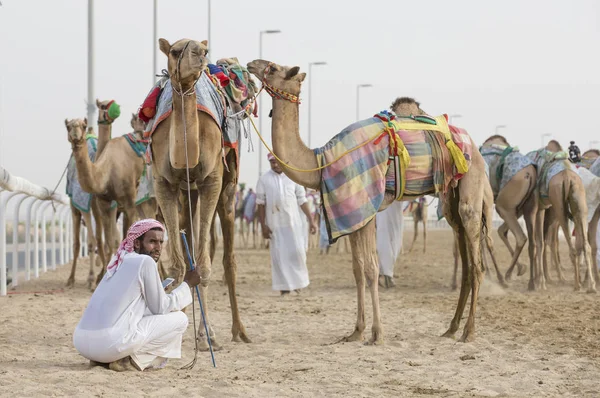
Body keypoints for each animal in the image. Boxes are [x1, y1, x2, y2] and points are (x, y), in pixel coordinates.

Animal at [151, 38, 252, 348]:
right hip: (187, 195)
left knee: (228, 260)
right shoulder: (164, 183)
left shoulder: (212, 181)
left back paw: (238, 330)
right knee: (188, 251)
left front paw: (208, 336)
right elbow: (178, 266)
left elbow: (205, 266)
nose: (200, 53)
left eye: (203, 49)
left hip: (227, 190)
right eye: (174, 51)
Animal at [246, 59, 490, 342]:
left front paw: (377, 333)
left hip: (471, 186)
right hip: (451, 198)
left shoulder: (365, 206)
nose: (252, 63)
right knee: (465, 259)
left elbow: (372, 268)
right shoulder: (350, 212)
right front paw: (356, 331)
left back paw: (469, 332)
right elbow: (358, 269)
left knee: (476, 264)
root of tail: (474, 146)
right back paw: (451, 328)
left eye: (274, 68)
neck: (321, 160)